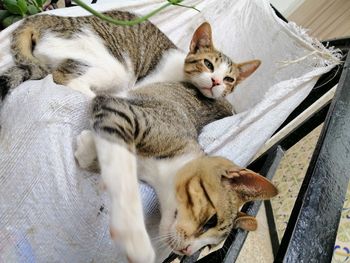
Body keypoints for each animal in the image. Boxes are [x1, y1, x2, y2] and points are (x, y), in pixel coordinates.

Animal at [0, 10, 260, 101]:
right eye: (208, 64)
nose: (216, 82)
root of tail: (48, 17)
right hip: (114, 68)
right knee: (63, 77)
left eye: (229, 80)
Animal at [75, 81, 278, 262]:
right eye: (211, 221)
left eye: (208, 247)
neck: (158, 173)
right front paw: (132, 235)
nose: (187, 250)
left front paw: (87, 146)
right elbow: (121, 169)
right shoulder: (124, 110)